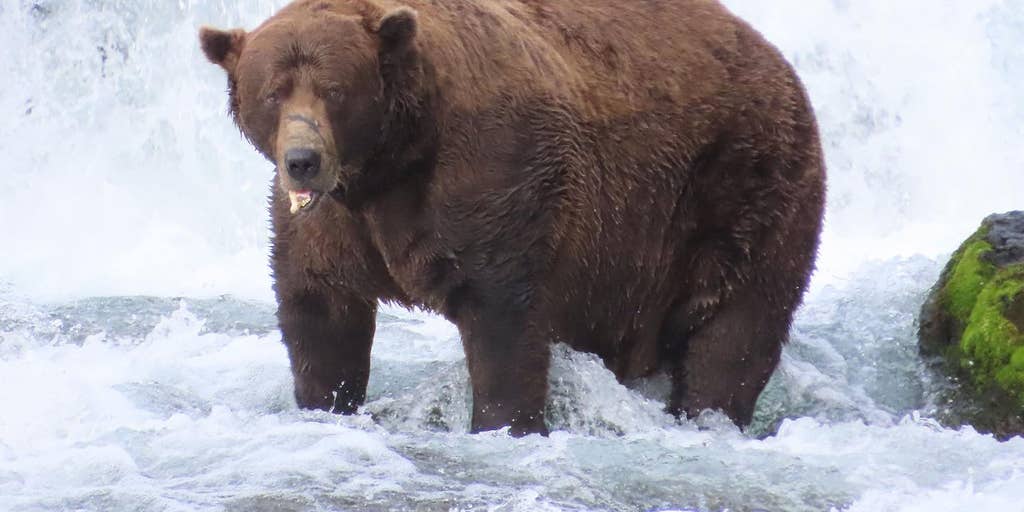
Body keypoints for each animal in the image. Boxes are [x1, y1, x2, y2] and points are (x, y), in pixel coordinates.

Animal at [199, 0, 825, 436]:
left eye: (333, 89)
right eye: (273, 91)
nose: (303, 159)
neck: (389, 164)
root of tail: (777, 58)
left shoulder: (494, 176)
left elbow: (503, 317)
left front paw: (504, 422)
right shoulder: (332, 225)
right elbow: (321, 312)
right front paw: (325, 402)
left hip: (742, 187)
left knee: (736, 327)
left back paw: (708, 414)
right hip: (632, 259)